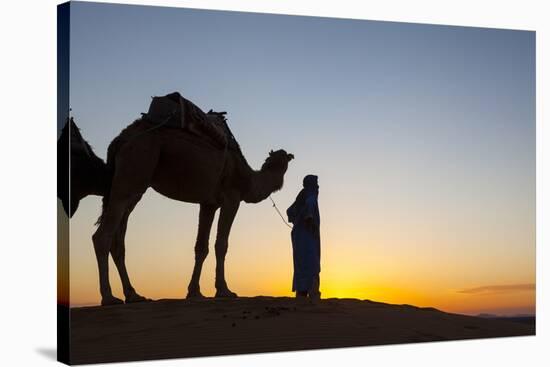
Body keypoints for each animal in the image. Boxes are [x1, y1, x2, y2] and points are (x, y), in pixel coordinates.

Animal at [79, 114, 296, 304]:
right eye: (285, 158)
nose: (289, 156)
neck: (248, 178)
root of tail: (118, 141)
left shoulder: (209, 203)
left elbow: (201, 247)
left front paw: (194, 292)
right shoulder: (231, 197)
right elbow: (221, 244)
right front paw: (224, 290)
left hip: (133, 186)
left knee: (118, 239)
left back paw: (134, 295)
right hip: (134, 167)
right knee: (102, 236)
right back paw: (109, 298)